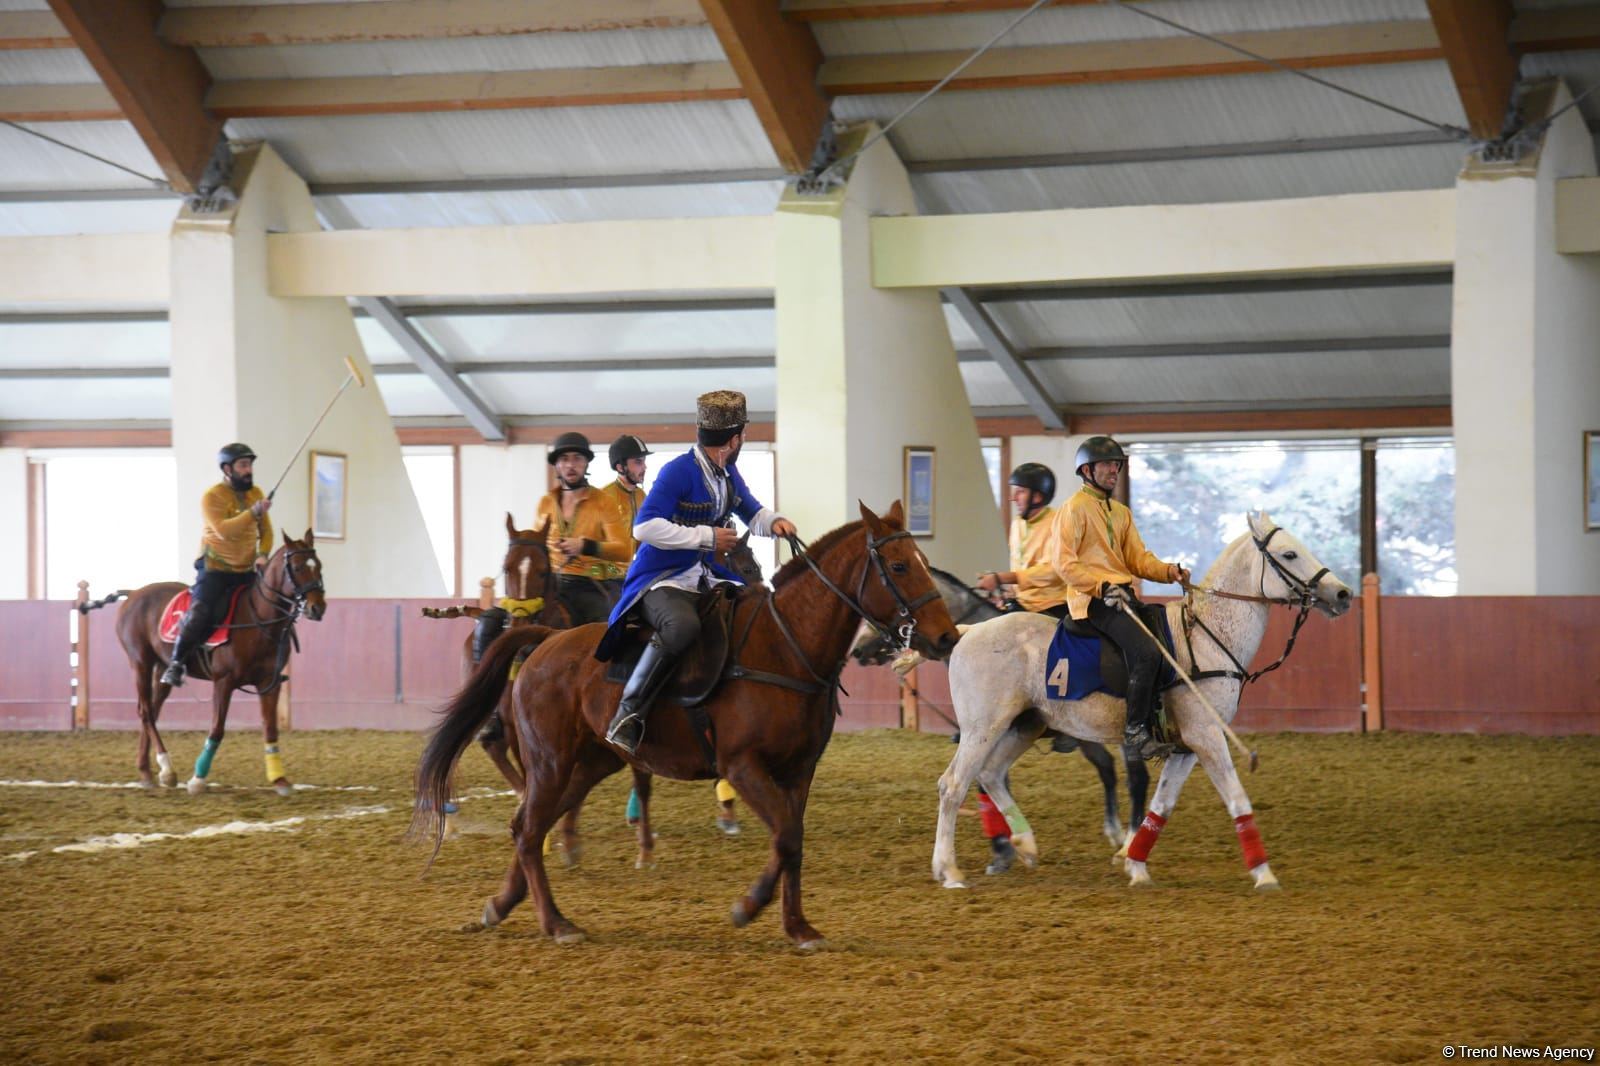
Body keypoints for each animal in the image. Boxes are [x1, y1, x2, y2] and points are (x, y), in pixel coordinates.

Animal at [85, 528, 331, 793]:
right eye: (297, 567)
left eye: (318, 565)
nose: (317, 608)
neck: (259, 619)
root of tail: (133, 594)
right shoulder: (224, 681)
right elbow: (217, 728)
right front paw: (198, 779)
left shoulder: (269, 682)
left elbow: (270, 728)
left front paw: (280, 779)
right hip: (140, 661)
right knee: (146, 711)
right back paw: (167, 768)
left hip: (162, 666)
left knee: (152, 709)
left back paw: (147, 772)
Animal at [416, 499, 960, 947]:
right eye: (897, 566)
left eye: (922, 562)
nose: (946, 637)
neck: (786, 645)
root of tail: (546, 637)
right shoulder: (743, 766)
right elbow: (785, 837)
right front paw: (749, 907)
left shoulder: (798, 772)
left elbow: (793, 842)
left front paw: (798, 926)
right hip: (551, 761)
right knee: (529, 828)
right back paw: (556, 923)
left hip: (591, 764)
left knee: (530, 824)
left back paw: (501, 905)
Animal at [934, 512, 1356, 889]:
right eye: (1289, 554)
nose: (1343, 594)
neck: (1208, 636)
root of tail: (968, 631)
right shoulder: (1206, 735)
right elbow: (1238, 800)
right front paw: (1264, 874)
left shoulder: (1185, 746)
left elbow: (1160, 806)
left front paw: (1134, 864)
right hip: (981, 729)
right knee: (953, 784)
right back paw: (950, 870)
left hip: (1025, 724)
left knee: (990, 774)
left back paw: (1025, 843)